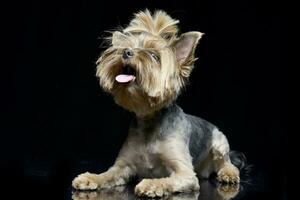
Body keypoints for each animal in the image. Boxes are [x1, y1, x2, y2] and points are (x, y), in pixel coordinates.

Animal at [72, 9, 241, 197]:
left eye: (154, 55)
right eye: (126, 47)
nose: (126, 52)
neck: (149, 120)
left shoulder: (185, 173)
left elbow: (167, 180)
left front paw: (151, 184)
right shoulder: (123, 166)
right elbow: (108, 174)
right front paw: (91, 178)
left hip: (220, 141)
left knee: (227, 163)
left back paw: (228, 174)